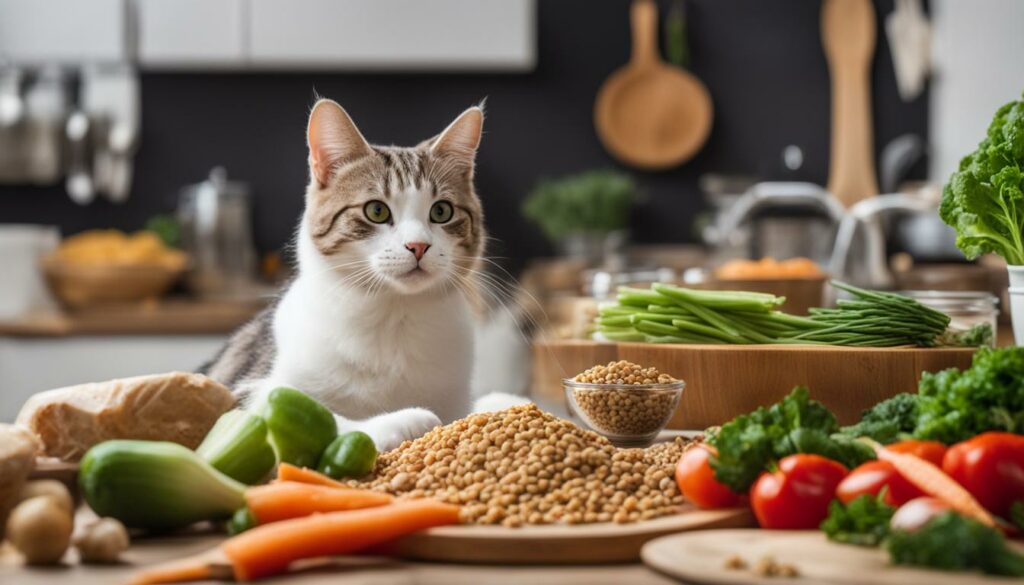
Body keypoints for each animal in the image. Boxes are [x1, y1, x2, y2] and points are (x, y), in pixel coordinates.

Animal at [204, 98, 532, 450]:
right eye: (376, 210)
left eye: (441, 211)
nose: (418, 246)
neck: (394, 317)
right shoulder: (245, 390)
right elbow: (313, 416)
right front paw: (401, 420)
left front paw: (505, 402)